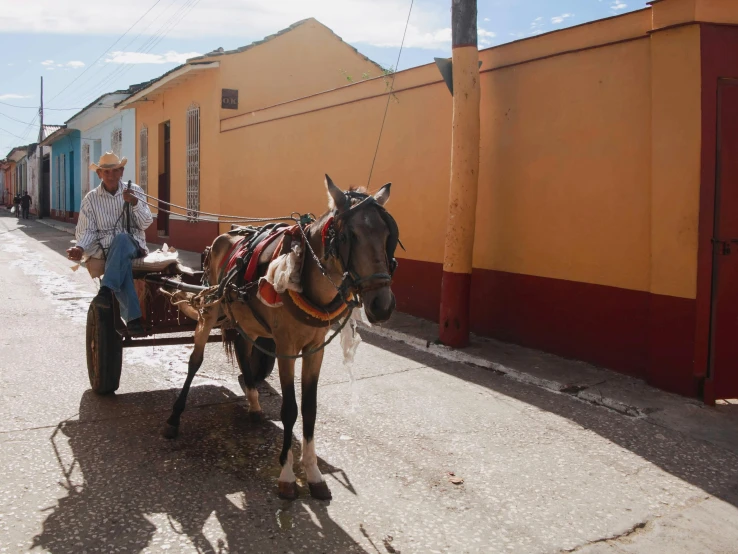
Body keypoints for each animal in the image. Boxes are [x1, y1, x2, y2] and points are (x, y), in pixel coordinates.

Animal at [163, 176, 396, 500]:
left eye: (387, 234)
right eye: (349, 235)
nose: (382, 306)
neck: (307, 279)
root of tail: (223, 238)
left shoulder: (314, 349)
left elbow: (309, 409)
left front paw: (313, 472)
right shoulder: (286, 347)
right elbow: (290, 409)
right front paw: (287, 474)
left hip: (245, 318)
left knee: (244, 349)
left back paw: (253, 402)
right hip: (210, 308)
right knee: (195, 360)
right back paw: (174, 418)